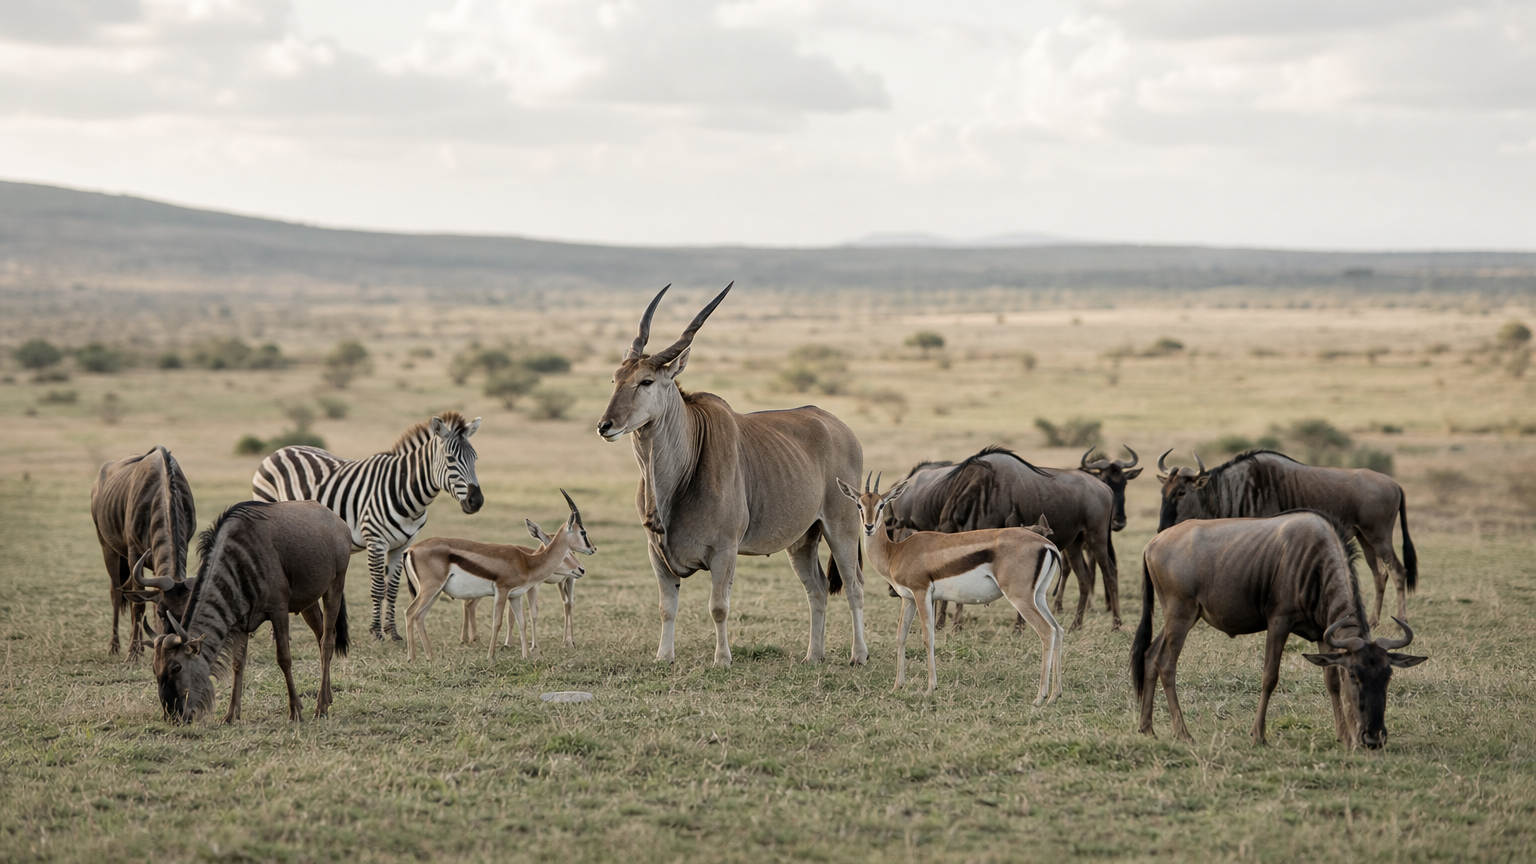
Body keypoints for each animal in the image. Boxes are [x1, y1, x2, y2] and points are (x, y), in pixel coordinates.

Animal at [252, 411, 484, 641]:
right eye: (451, 459)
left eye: (475, 459)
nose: (476, 501)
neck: (405, 491)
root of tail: (280, 450)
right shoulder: (376, 541)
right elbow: (378, 587)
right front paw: (376, 632)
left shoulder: (401, 546)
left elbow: (392, 588)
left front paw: (393, 632)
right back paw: (276, 634)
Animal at [402, 491, 596, 662]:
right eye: (583, 532)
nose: (592, 549)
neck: (527, 562)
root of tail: (410, 549)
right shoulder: (502, 590)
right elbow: (498, 622)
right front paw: (491, 656)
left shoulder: (515, 596)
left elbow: (522, 622)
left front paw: (525, 656)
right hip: (430, 590)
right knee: (410, 612)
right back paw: (412, 658)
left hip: (435, 592)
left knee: (420, 617)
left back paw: (430, 657)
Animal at [597, 284, 867, 667]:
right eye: (615, 379)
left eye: (646, 381)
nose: (605, 425)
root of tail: (843, 429)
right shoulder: (656, 554)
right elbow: (667, 607)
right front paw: (664, 657)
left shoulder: (725, 551)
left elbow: (718, 607)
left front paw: (722, 659)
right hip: (803, 539)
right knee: (816, 589)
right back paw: (813, 656)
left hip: (841, 527)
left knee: (854, 585)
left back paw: (859, 654)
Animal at [839, 474, 1065, 701]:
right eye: (859, 504)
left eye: (881, 504)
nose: (868, 527)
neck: (896, 552)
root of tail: (1047, 544)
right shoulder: (908, 598)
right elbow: (900, 636)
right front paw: (897, 686)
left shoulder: (921, 593)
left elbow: (928, 637)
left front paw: (930, 688)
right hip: (1039, 597)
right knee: (1058, 629)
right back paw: (1055, 694)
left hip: (1020, 598)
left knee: (1047, 631)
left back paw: (1040, 697)